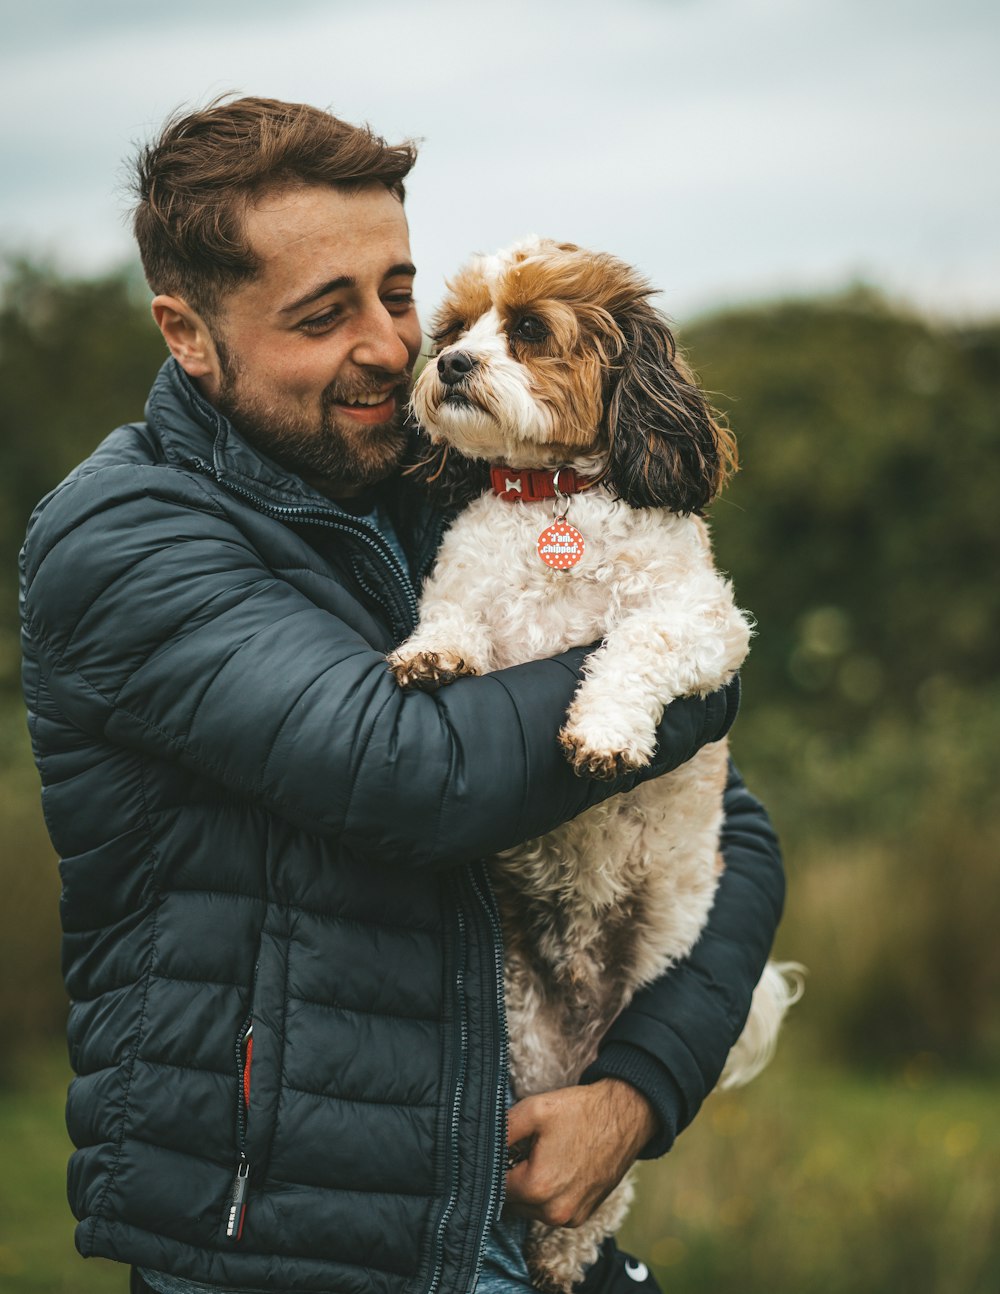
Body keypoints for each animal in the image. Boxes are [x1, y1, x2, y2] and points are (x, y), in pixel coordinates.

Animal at [385, 238, 802, 1288]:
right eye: (454, 328)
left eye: (530, 331)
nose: (451, 365)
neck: (552, 501)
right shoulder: (466, 594)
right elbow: (453, 622)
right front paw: (431, 655)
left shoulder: (706, 624)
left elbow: (632, 647)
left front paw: (604, 732)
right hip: (523, 1045)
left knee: (592, 1205)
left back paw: (563, 1259)